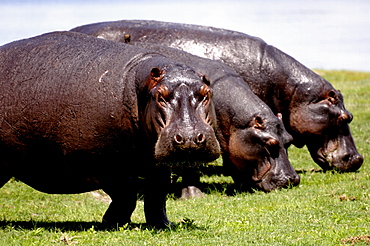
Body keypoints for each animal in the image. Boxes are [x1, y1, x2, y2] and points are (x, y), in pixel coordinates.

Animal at [0, 31, 220, 229]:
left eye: (206, 93)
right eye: (161, 96)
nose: (190, 138)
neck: (138, 87)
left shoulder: (158, 163)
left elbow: (157, 193)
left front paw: (165, 225)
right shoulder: (104, 163)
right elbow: (127, 193)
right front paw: (112, 222)